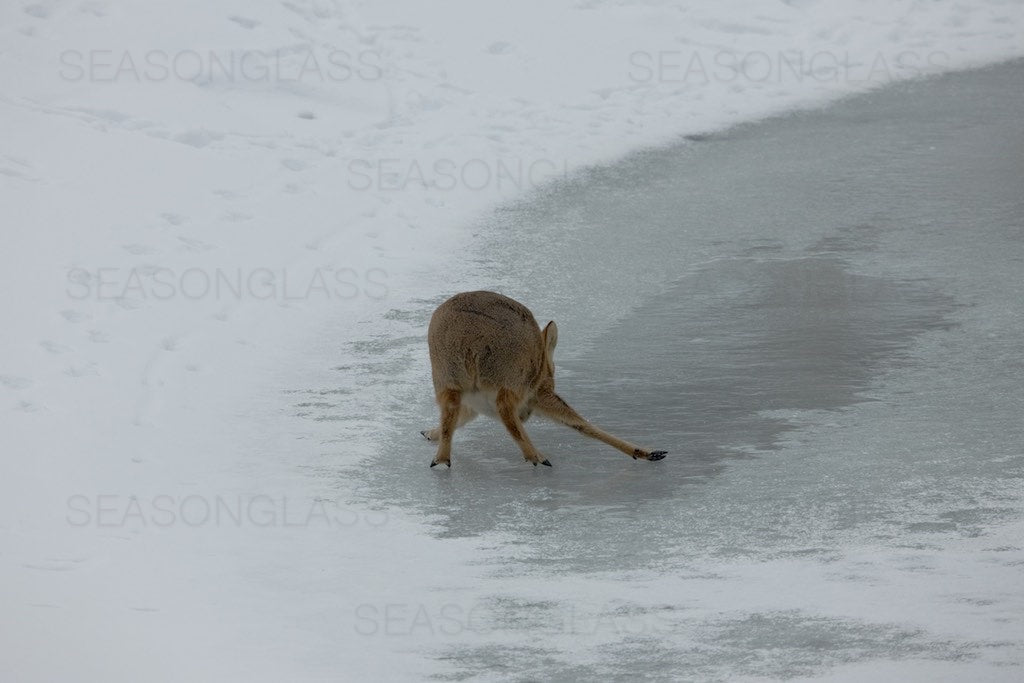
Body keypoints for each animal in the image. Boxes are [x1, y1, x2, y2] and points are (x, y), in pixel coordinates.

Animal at [419, 290, 667, 466]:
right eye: (553, 368)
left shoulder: (475, 404)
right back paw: (537, 457)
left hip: (447, 380)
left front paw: (429, 433)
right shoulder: (536, 394)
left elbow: (456, 421)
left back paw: (441, 459)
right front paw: (649, 452)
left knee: (451, 413)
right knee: (507, 412)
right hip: (512, 381)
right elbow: (580, 423)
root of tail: (470, 342)